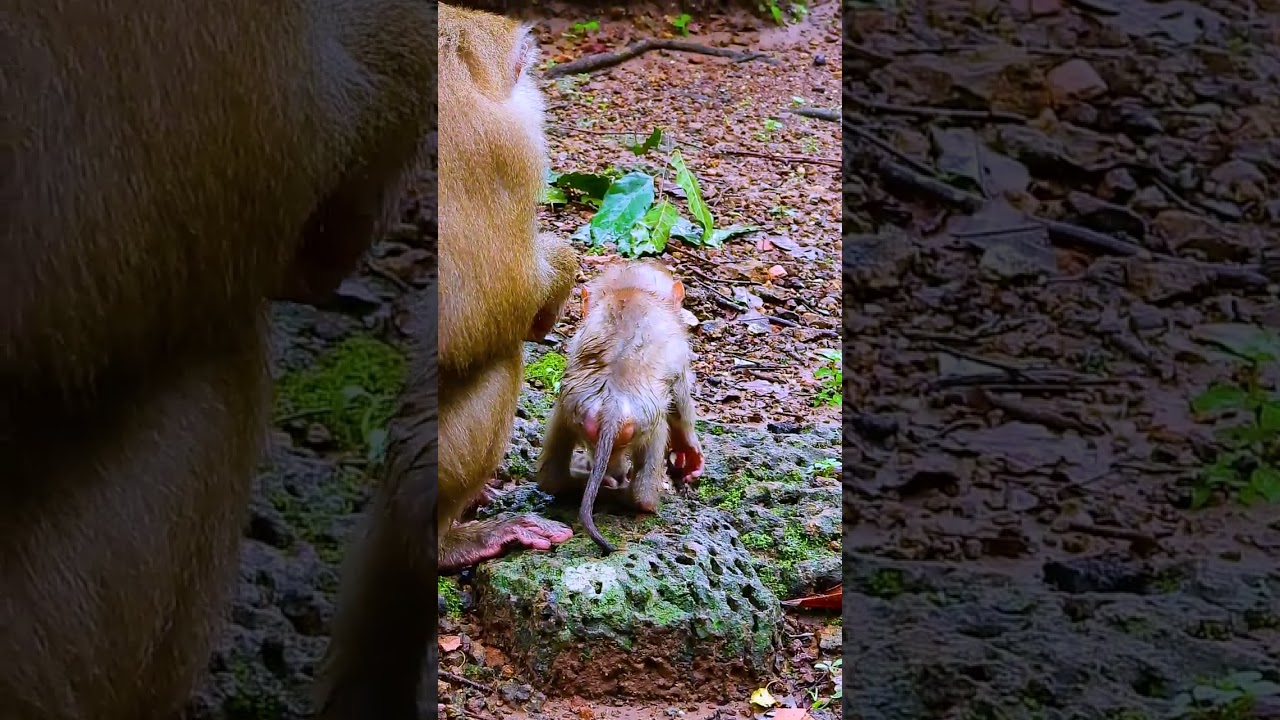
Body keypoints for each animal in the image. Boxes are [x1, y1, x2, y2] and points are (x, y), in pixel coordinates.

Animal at [535, 260, 705, 555]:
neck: (632, 290)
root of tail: (612, 407)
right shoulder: (681, 351)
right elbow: (680, 398)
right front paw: (690, 449)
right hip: (642, 422)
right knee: (658, 430)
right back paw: (637, 498)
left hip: (575, 408)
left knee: (560, 426)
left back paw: (578, 483)